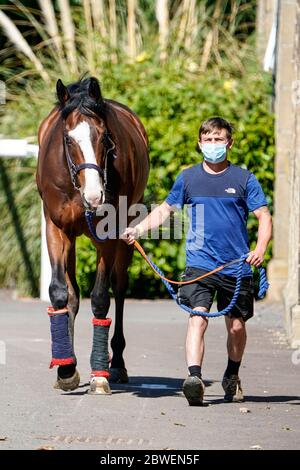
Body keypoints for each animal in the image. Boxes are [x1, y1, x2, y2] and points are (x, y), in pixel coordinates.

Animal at [37, 77, 149, 392]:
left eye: (104, 137)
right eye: (68, 139)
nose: (95, 195)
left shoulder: (107, 233)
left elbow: (100, 297)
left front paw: (100, 374)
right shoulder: (56, 228)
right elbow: (60, 293)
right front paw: (65, 369)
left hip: (127, 232)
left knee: (119, 287)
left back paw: (117, 364)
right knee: (73, 293)